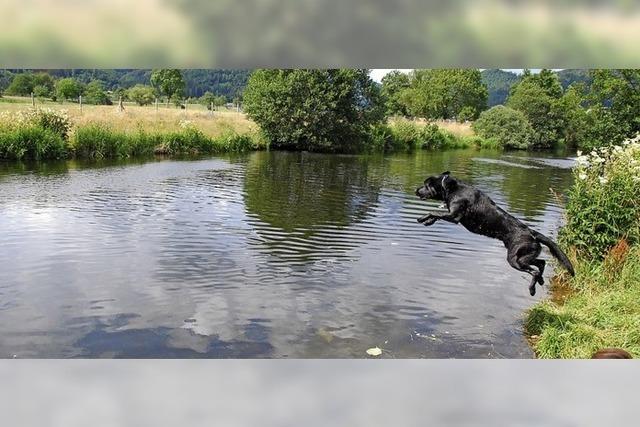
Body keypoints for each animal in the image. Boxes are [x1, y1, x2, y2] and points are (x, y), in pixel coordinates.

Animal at [416, 172, 576, 296]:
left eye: (426, 184)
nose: (416, 190)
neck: (452, 189)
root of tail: (531, 232)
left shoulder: (454, 216)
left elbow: (434, 212)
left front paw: (423, 218)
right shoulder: (450, 214)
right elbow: (437, 215)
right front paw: (428, 221)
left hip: (515, 259)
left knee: (535, 271)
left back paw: (532, 290)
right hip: (525, 256)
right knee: (541, 263)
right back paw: (541, 281)